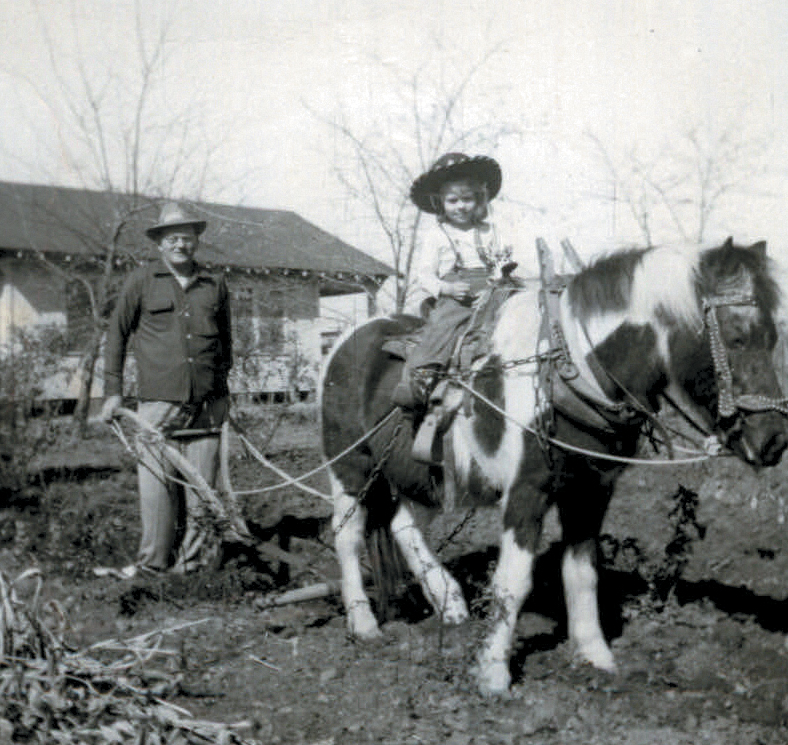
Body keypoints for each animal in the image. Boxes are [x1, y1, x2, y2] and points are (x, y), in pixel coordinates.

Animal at [318, 238, 784, 692]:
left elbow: (581, 573)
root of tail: (345, 341)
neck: (569, 369)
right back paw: (364, 623)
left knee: (404, 524)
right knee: (348, 536)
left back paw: (448, 602)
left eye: (773, 336)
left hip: (421, 473)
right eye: (737, 337)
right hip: (351, 468)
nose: (775, 440)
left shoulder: (591, 490)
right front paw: (493, 673)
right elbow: (514, 579)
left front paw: (594, 656)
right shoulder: (527, 490)